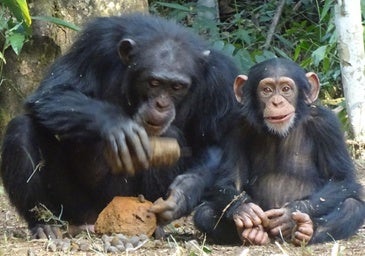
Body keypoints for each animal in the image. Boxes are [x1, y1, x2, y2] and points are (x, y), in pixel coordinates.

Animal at [0, 13, 239, 238]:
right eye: (154, 82)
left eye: (177, 87)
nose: (161, 104)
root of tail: (96, 220)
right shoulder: (95, 44)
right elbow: (53, 92)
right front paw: (117, 125)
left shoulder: (219, 79)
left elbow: (215, 142)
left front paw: (182, 194)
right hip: (73, 206)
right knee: (21, 129)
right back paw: (44, 224)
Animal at [193, 57, 364, 245]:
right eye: (267, 90)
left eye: (286, 89)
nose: (277, 102)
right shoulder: (236, 126)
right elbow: (230, 179)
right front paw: (244, 208)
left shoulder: (327, 125)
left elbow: (341, 178)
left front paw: (290, 214)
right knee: (204, 213)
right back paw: (250, 233)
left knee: (352, 206)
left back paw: (306, 229)